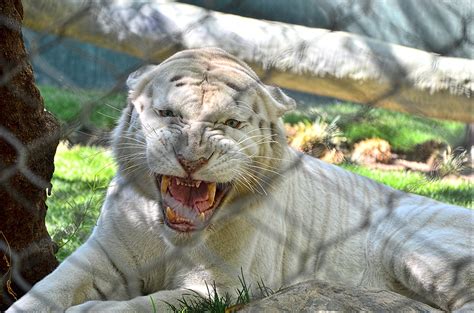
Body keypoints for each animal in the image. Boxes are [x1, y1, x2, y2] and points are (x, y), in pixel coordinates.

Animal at [8, 47, 474, 310]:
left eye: (230, 123)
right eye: (168, 113)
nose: (191, 157)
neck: (171, 239)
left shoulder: (221, 286)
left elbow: (150, 304)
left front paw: (90, 311)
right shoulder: (100, 256)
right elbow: (44, 292)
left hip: (415, 248)